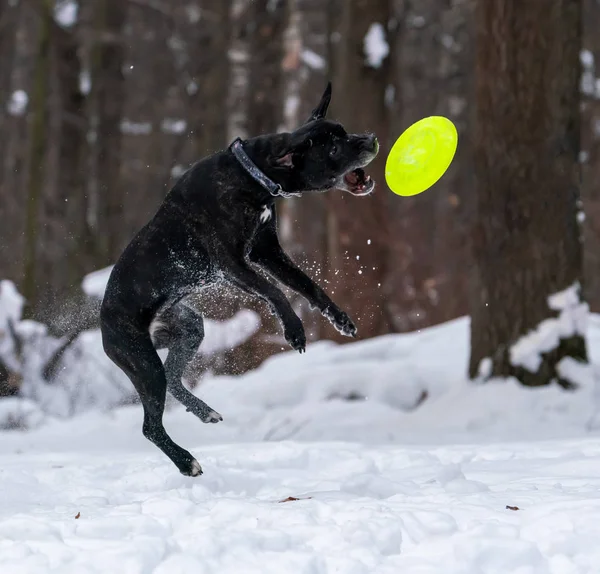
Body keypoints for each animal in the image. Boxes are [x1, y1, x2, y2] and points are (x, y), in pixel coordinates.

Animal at [100, 84, 378, 476]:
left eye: (345, 132)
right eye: (334, 147)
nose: (371, 139)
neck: (254, 175)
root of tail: (102, 321)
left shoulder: (267, 252)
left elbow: (307, 285)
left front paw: (339, 318)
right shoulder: (233, 264)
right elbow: (274, 291)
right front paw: (294, 330)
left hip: (189, 329)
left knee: (173, 378)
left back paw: (204, 411)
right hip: (142, 362)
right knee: (150, 425)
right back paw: (186, 461)